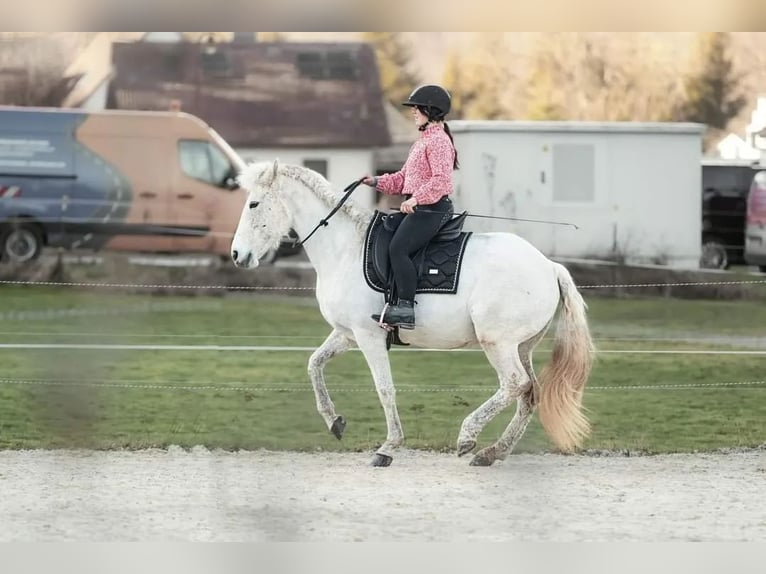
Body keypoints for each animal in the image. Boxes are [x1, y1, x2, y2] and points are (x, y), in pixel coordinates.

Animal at [231, 161, 596, 468]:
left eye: (253, 205)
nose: (237, 255)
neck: (345, 247)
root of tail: (549, 265)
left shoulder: (369, 336)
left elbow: (385, 389)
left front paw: (388, 447)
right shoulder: (348, 334)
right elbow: (314, 365)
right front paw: (335, 421)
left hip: (498, 343)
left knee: (514, 384)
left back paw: (468, 437)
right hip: (523, 347)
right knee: (529, 394)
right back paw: (493, 452)